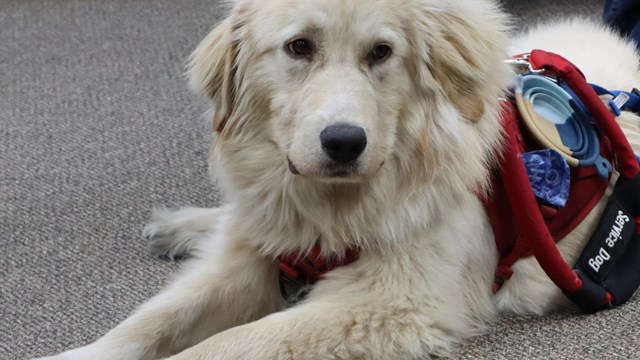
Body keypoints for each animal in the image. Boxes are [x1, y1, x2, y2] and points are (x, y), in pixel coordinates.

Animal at [35, 0, 640, 358]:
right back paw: (184, 226)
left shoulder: (388, 303)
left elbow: (224, 344)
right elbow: (148, 323)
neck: (328, 205)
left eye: (381, 52)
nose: (344, 143)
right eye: (299, 46)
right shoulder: (248, 262)